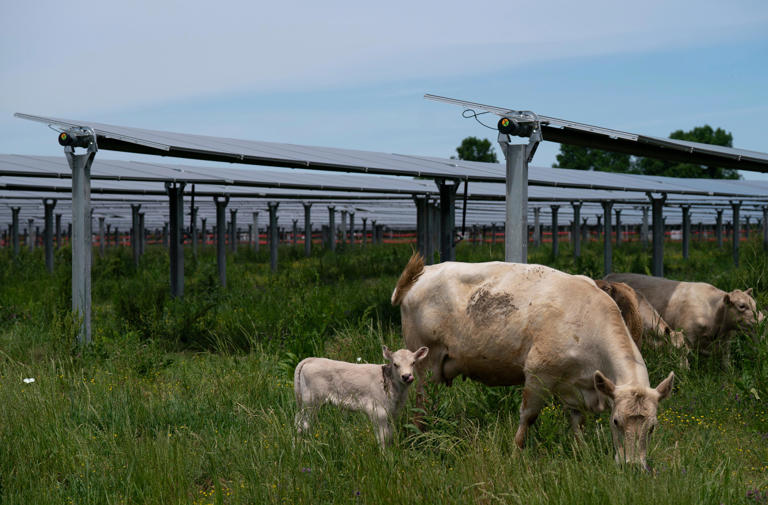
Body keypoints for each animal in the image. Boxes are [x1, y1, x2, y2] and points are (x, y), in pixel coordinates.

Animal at [293, 345, 429, 447]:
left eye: (413, 363)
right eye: (395, 364)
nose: (406, 376)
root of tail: (312, 359)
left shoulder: (392, 413)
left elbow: (389, 436)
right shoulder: (378, 412)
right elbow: (383, 438)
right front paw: (385, 459)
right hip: (311, 401)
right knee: (303, 425)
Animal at [392, 254, 674, 467]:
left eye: (652, 427)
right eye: (616, 422)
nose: (633, 466)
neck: (588, 320)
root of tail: (423, 272)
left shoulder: (576, 386)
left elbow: (577, 423)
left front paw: (581, 451)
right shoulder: (539, 375)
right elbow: (528, 416)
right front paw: (516, 453)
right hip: (422, 364)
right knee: (420, 403)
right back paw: (420, 437)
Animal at [605, 273, 764, 361]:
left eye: (754, 303)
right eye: (742, 306)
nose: (761, 319)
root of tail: (610, 275)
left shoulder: (726, 341)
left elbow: (726, 361)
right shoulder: (688, 337)